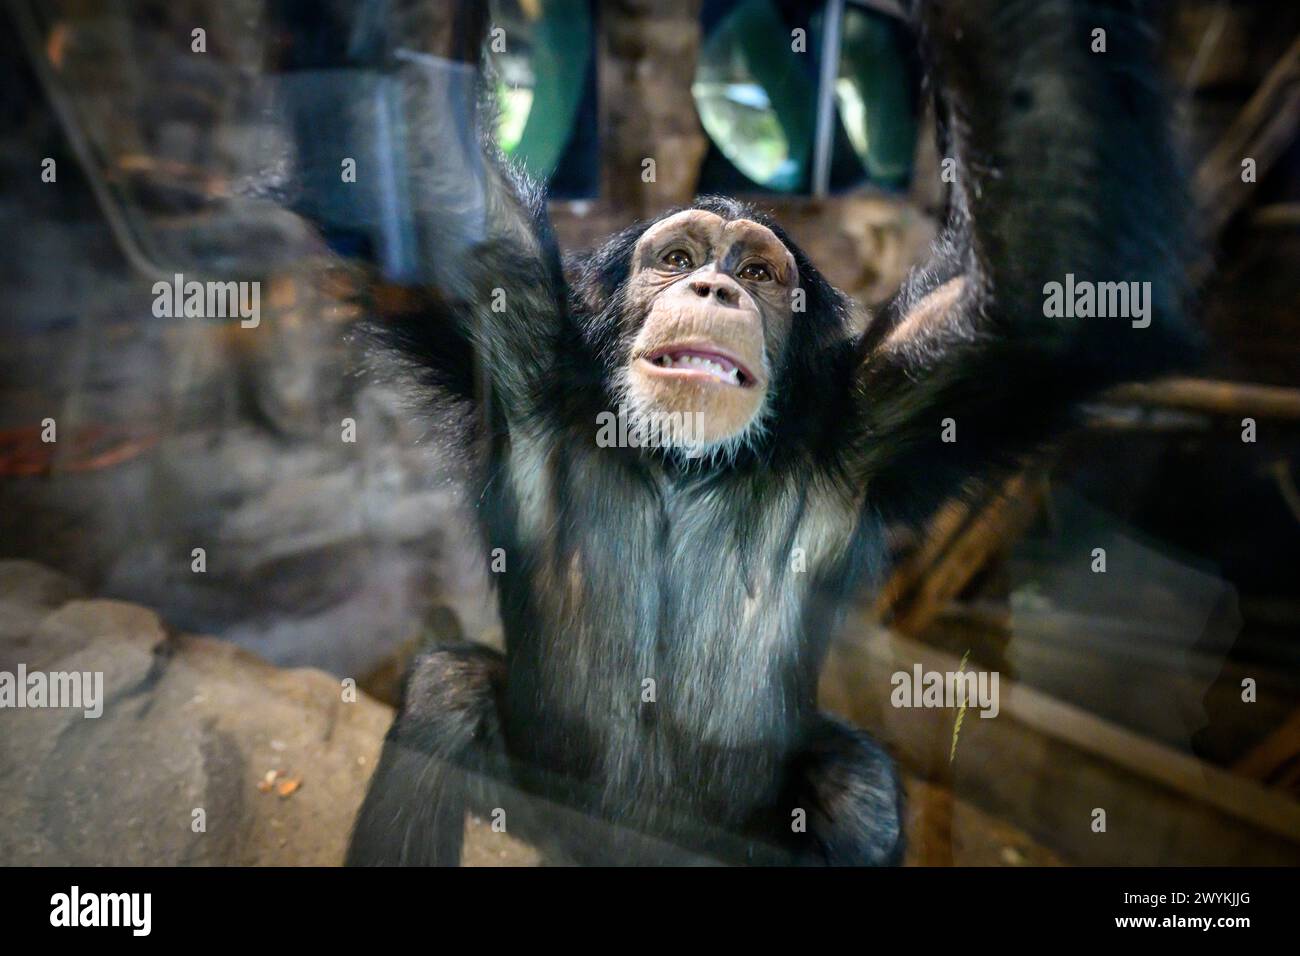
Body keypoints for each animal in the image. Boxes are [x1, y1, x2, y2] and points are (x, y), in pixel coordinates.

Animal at [345, 0, 1194, 866]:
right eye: (677, 258)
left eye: (756, 273)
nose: (713, 288)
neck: (682, 462)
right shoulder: (518, 334)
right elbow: (423, 150)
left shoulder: (880, 415)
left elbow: (1047, 274)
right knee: (445, 695)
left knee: (859, 792)